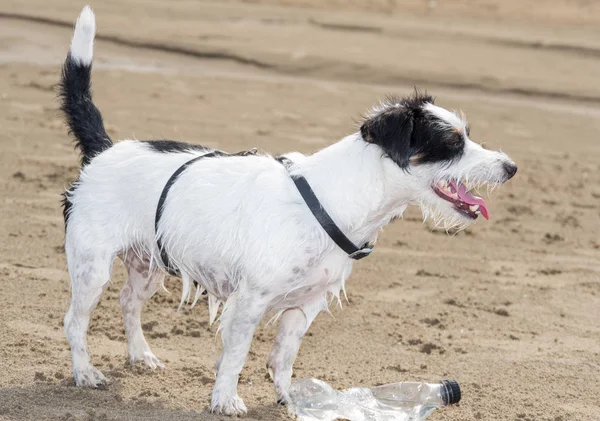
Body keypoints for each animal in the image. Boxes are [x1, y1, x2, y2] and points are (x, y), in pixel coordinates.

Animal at [59, 5, 516, 414]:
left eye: (468, 136)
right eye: (452, 144)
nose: (511, 167)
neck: (333, 200)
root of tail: (104, 150)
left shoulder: (304, 307)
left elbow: (283, 358)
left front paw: (291, 398)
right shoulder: (250, 302)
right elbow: (236, 356)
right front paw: (225, 400)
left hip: (149, 264)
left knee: (127, 302)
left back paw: (141, 354)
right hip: (92, 267)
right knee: (75, 321)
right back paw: (85, 372)